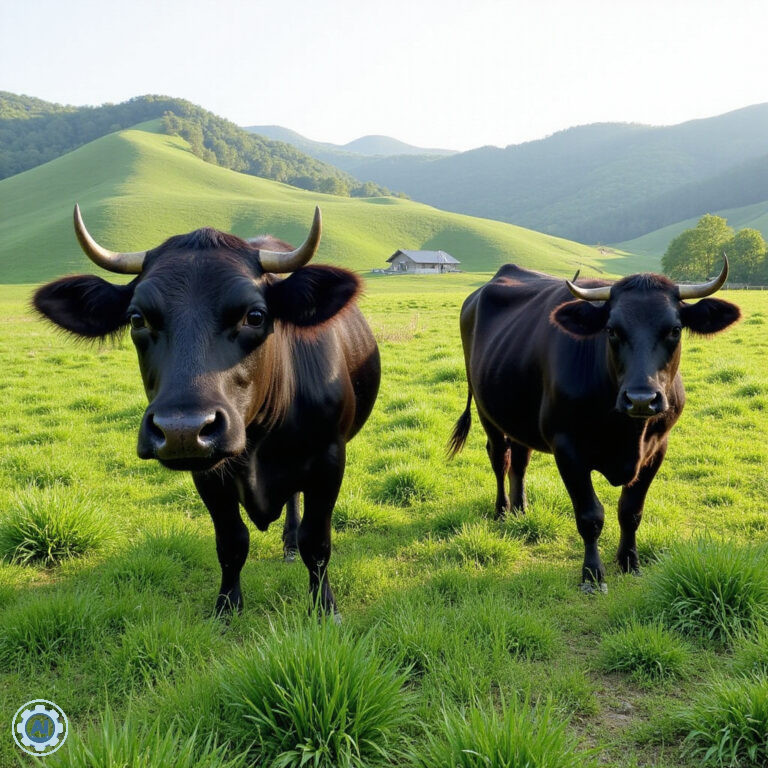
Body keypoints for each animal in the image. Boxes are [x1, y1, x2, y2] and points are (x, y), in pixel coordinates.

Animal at [34, 205, 380, 619]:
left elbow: (317, 542)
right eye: (137, 319)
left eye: (255, 316)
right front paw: (227, 608)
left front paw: (325, 608)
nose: (182, 429)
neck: (258, 444)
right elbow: (231, 542)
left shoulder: (329, 459)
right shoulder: (208, 473)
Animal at [448, 261, 739, 591]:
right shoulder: (567, 449)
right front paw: (591, 573)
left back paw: (521, 509)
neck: (627, 434)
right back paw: (502, 512)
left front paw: (629, 561)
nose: (641, 399)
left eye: (675, 330)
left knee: (520, 461)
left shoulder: (657, 449)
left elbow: (631, 511)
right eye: (611, 330)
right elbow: (590, 516)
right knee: (500, 457)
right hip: (486, 409)